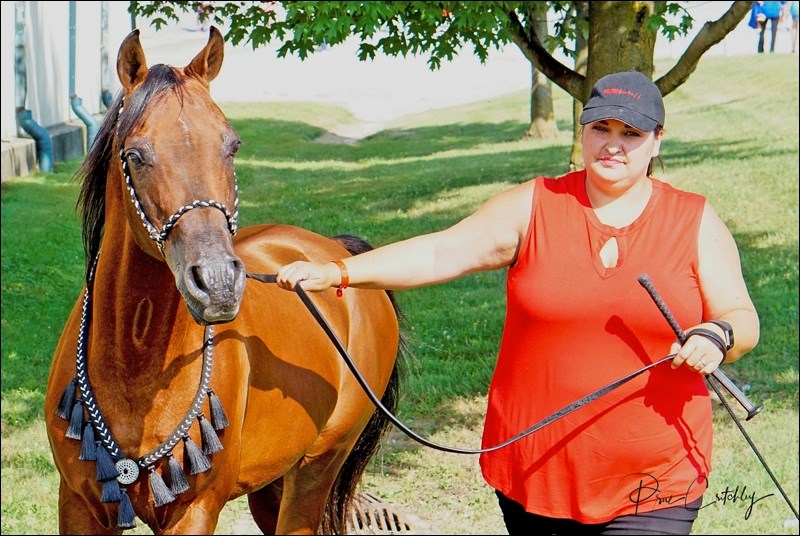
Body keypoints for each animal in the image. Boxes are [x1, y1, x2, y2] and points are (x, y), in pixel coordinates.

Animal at [43, 26, 404, 536]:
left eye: (231, 145)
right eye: (136, 154)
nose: (215, 283)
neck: (134, 371)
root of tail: (337, 250)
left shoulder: (195, 512)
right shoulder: (76, 504)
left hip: (317, 467)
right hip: (270, 485)